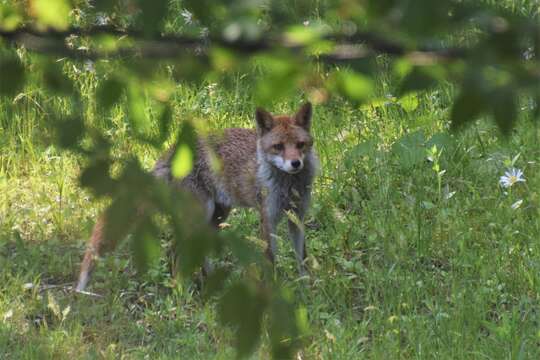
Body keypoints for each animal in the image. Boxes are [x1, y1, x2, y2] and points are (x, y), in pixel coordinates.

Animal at [77, 102, 320, 292]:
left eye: (300, 145)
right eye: (278, 147)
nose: (295, 163)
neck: (289, 186)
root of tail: (173, 151)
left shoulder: (297, 217)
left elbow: (304, 259)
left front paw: (309, 288)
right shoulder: (268, 217)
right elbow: (270, 261)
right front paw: (275, 292)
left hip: (217, 216)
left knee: (194, 253)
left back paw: (210, 284)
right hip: (199, 216)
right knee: (174, 251)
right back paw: (180, 293)